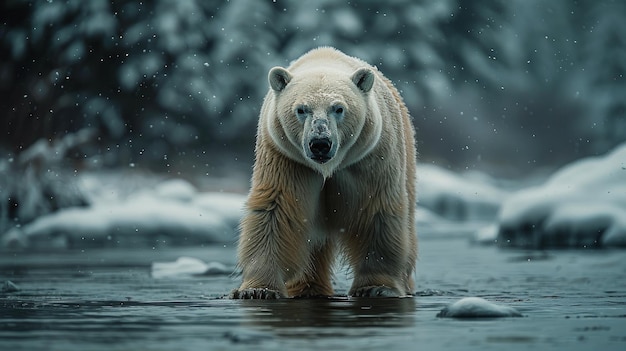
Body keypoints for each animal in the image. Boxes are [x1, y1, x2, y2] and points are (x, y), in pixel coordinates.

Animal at [229, 47, 414, 300]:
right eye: (301, 109)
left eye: (338, 108)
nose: (320, 143)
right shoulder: (287, 159)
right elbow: (277, 211)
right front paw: (257, 290)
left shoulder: (370, 158)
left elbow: (375, 210)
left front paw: (377, 287)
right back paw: (307, 289)